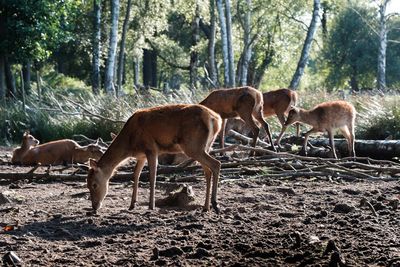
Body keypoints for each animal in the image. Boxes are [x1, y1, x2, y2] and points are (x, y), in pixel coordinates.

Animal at [86, 104, 222, 214]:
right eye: (87, 185)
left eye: (94, 185)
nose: (94, 207)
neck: (130, 144)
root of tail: (216, 120)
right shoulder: (141, 156)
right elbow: (136, 174)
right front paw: (132, 204)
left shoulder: (151, 148)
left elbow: (152, 176)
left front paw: (151, 206)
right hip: (205, 146)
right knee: (208, 171)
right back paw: (206, 207)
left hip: (193, 146)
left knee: (216, 164)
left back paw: (215, 204)